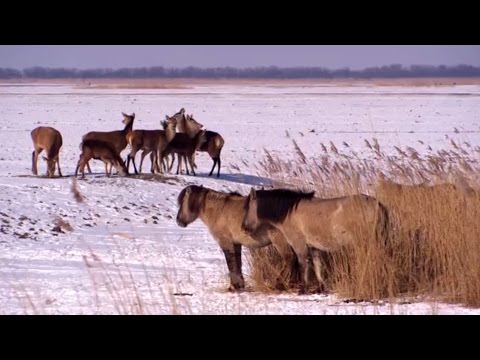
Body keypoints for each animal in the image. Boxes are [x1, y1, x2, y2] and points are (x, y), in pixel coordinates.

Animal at [242, 187, 388, 294]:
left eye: (248, 207)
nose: (244, 227)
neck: (290, 213)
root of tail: (378, 205)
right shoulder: (314, 247)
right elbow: (317, 265)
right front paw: (320, 288)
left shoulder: (299, 244)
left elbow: (302, 265)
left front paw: (303, 289)